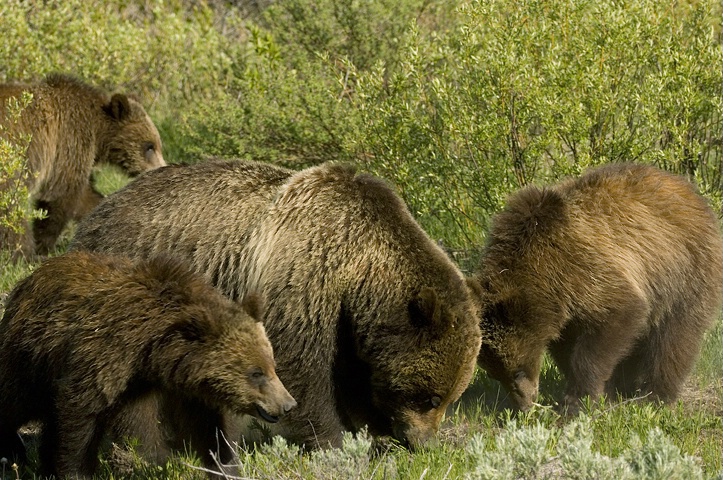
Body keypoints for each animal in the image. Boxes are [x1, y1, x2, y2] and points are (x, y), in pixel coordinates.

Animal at [0, 72, 165, 256]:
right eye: (149, 146)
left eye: (157, 144)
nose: (160, 168)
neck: (97, 130)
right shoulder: (68, 140)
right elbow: (61, 194)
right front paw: (42, 246)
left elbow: (86, 197)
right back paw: (22, 251)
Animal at [0, 249, 296, 478]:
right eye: (255, 372)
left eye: (272, 365)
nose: (287, 404)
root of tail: (31, 277)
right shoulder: (104, 356)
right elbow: (80, 417)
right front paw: (76, 471)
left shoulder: (183, 387)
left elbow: (209, 429)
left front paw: (225, 467)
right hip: (29, 355)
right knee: (15, 399)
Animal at [70, 160, 484, 450]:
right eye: (430, 397)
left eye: (451, 397)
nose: (424, 443)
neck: (358, 266)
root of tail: (92, 216)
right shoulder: (306, 276)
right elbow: (300, 366)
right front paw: (334, 440)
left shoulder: (349, 322)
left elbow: (354, 377)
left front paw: (372, 431)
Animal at [476, 163, 723, 414]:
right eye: (495, 373)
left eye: (516, 371)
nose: (524, 406)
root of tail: (691, 191)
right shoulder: (566, 309)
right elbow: (568, 346)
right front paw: (602, 391)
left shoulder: (585, 268)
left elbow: (620, 315)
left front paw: (577, 400)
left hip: (684, 270)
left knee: (674, 338)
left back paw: (655, 396)